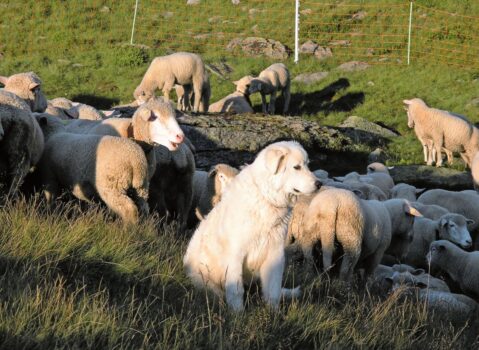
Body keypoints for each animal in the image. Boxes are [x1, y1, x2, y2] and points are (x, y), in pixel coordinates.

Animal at [184, 141, 322, 310]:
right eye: (296, 167)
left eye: (307, 165)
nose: (319, 184)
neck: (266, 197)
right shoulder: (236, 253)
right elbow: (236, 289)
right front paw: (237, 313)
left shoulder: (275, 252)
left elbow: (273, 289)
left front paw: (273, 313)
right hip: (201, 275)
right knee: (215, 291)